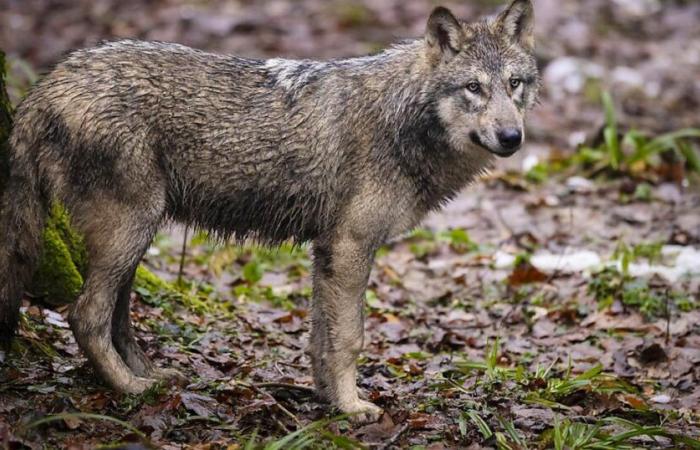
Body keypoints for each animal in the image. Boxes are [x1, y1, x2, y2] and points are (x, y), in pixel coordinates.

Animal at [0, 0, 540, 422]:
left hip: (134, 238)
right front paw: (353, 408)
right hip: (131, 231)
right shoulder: (349, 247)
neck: (402, 120)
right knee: (86, 314)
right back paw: (130, 390)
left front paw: (328, 400)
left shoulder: (327, 252)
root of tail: (45, 87)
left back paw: (152, 375)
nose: (512, 137)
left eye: (514, 84)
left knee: (116, 317)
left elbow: (322, 340)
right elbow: (350, 338)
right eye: (473, 88)